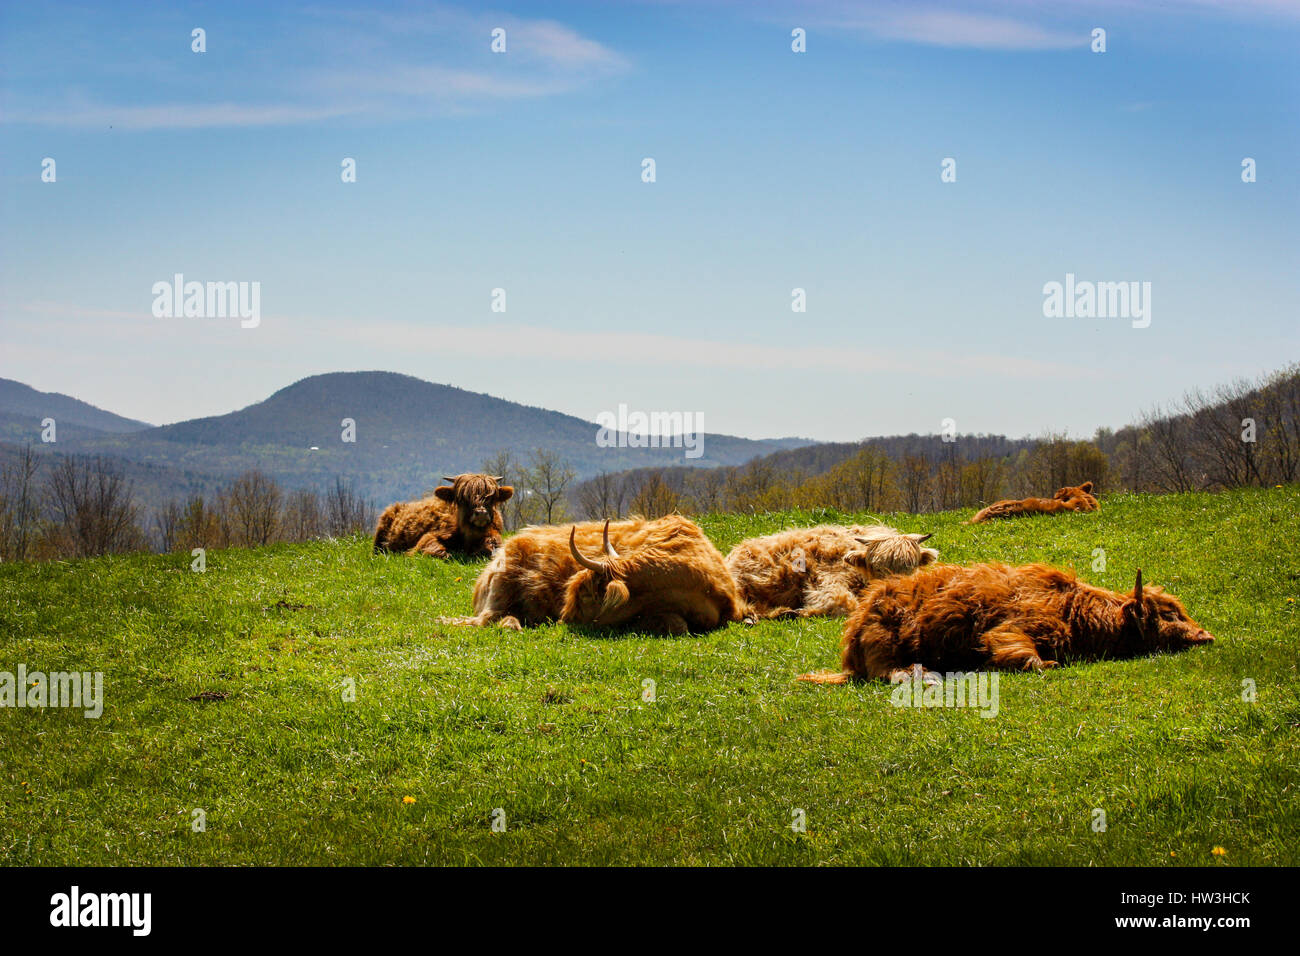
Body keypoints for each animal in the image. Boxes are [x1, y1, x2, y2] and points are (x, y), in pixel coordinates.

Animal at [373, 473, 513, 558]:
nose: (481, 514)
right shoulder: (431, 536)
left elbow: (493, 544)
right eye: (462, 498)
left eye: (492, 498)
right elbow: (434, 548)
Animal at [798, 563, 1213, 684]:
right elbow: (1024, 654)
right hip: (885, 642)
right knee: (887, 672)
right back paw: (923, 675)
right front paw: (1047, 664)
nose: (1205, 635)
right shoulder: (1013, 629)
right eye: (1169, 613)